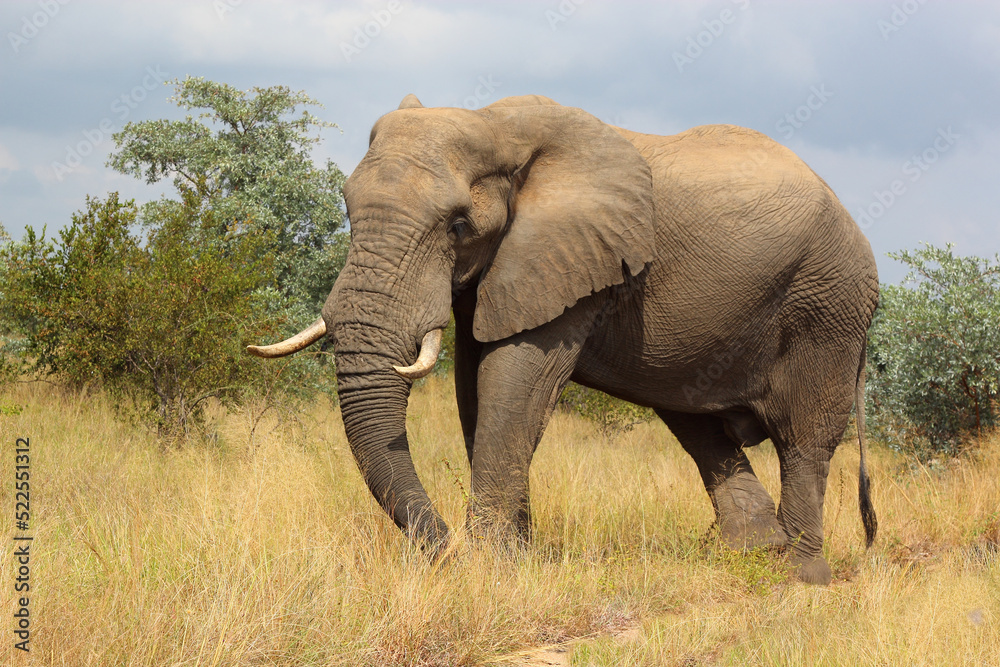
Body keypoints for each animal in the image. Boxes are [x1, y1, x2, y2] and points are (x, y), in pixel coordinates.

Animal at [248, 93, 878, 585]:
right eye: (347, 208)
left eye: (457, 225)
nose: (445, 550)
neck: (495, 126)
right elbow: (475, 387)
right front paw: (515, 559)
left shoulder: (571, 257)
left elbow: (514, 381)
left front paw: (489, 568)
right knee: (694, 419)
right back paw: (752, 552)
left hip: (827, 306)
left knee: (803, 439)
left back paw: (798, 575)